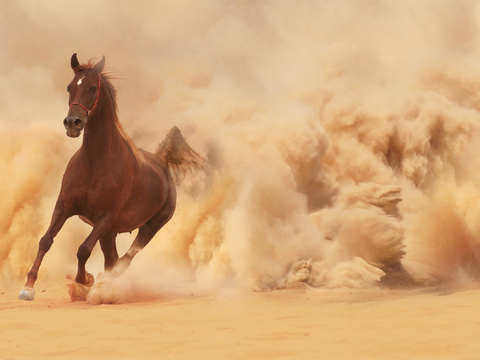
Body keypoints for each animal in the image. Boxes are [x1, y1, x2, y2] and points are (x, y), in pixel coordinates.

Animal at [18, 54, 202, 300]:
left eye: (92, 88)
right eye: (69, 87)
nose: (73, 123)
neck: (95, 162)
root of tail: (162, 161)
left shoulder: (105, 217)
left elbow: (83, 249)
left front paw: (86, 279)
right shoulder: (64, 206)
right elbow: (46, 241)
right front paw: (28, 287)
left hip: (149, 227)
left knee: (124, 260)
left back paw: (102, 287)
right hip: (110, 233)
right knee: (112, 259)